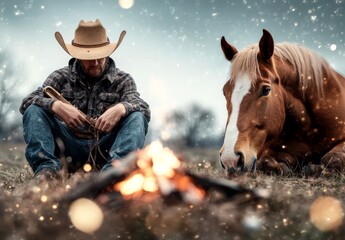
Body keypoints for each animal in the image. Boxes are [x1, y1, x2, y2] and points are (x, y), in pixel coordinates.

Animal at [219, 29, 342, 176]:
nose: (230, 160)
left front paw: (312, 168)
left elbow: (333, 158)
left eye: (266, 89)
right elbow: (265, 162)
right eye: (224, 91)